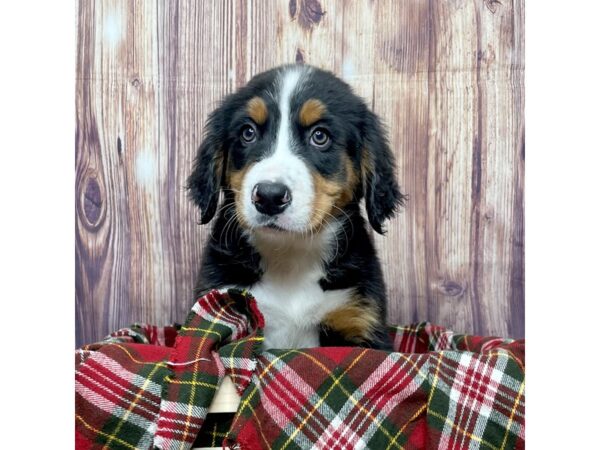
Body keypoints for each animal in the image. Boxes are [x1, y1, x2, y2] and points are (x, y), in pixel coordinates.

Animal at [186, 64, 404, 352]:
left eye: (320, 136)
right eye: (248, 133)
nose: (269, 196)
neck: (290, 254)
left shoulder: (359, 319)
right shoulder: (221, 306)